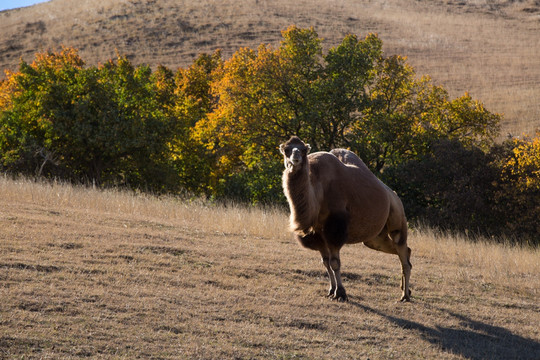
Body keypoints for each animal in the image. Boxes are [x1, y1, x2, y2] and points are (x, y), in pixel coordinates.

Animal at [280, 136, 412, 302]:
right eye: (287, 149)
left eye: (303, 150)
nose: (296, 157)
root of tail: (393, 195)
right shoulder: (317, 235)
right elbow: (325, 263)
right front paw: (331, 290)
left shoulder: (334, 230)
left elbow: (334, 263)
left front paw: (340, 293)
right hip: (375, 238)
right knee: (403, 252)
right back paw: (407, 290)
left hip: (398, 218)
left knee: (402, 252)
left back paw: (405, 296)